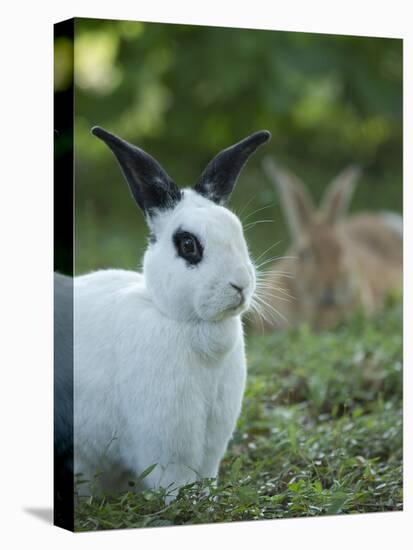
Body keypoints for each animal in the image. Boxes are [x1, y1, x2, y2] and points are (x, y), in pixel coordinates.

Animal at [73, 128, 270, 500]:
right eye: (188, 245)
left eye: (238, 232)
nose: (240, 284)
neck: (188, 324)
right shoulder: (166, 439)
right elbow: (173, 480)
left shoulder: (212, 441)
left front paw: (207, 497)